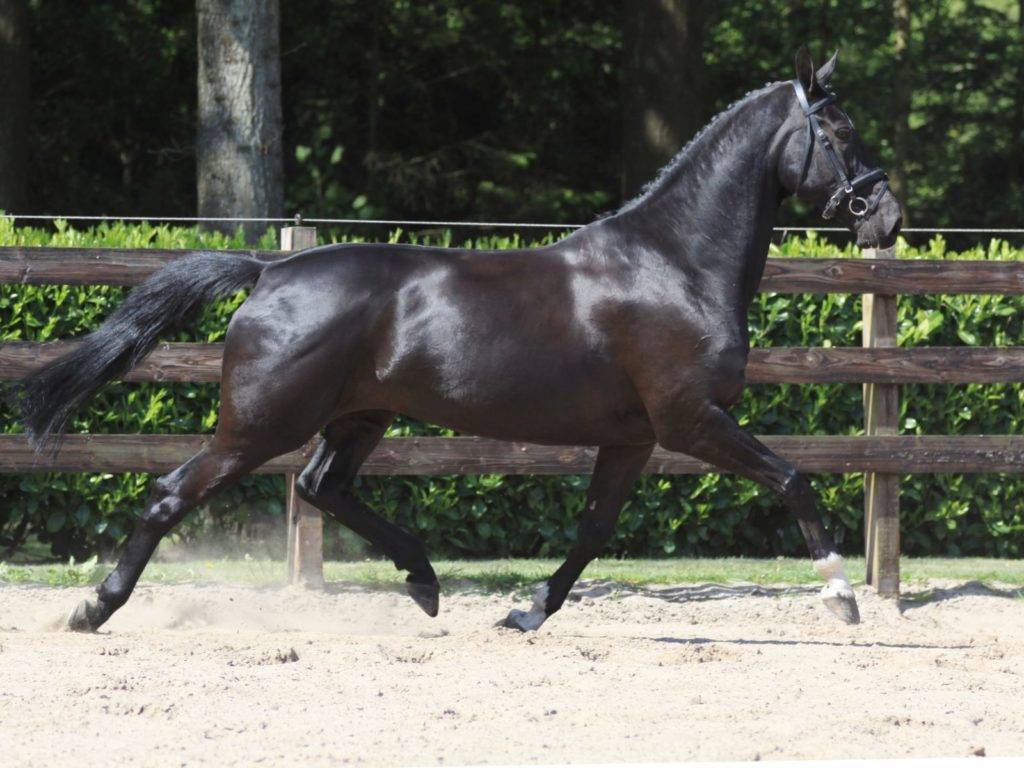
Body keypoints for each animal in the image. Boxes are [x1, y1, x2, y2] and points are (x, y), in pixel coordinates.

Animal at [20, 46, 901, 633]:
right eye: (839, 131)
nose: (887, 218)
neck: (674, 263)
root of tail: (272, 269)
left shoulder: (635, 436)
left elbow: (594, 528)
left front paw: (529, 612)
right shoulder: (691, 421)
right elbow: (793, 479)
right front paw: (842, 596)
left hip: (358, 417)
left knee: (323, 487)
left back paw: (425, 581)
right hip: (262, 424)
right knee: (177, 493)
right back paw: (93, 609)